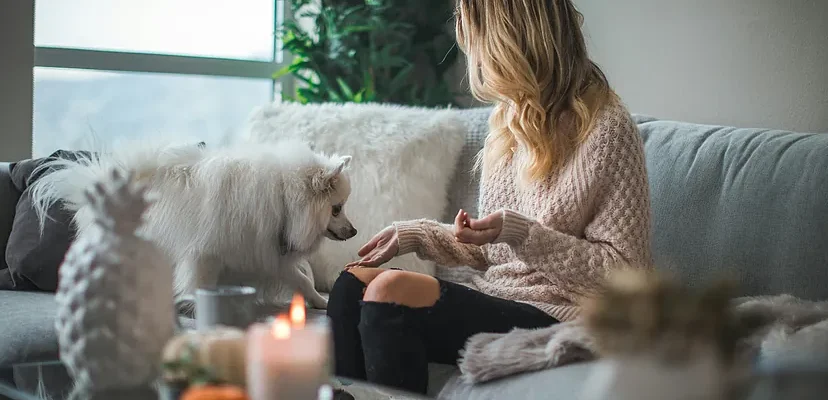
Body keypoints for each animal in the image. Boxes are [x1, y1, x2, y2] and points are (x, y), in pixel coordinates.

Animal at [29, 139, 356, 308]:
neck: (283, 198)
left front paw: (320, 302)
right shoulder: (206, 254)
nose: (354, 231)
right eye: (336, 209)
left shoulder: (265, 252)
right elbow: (199, 283)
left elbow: (301, 279)